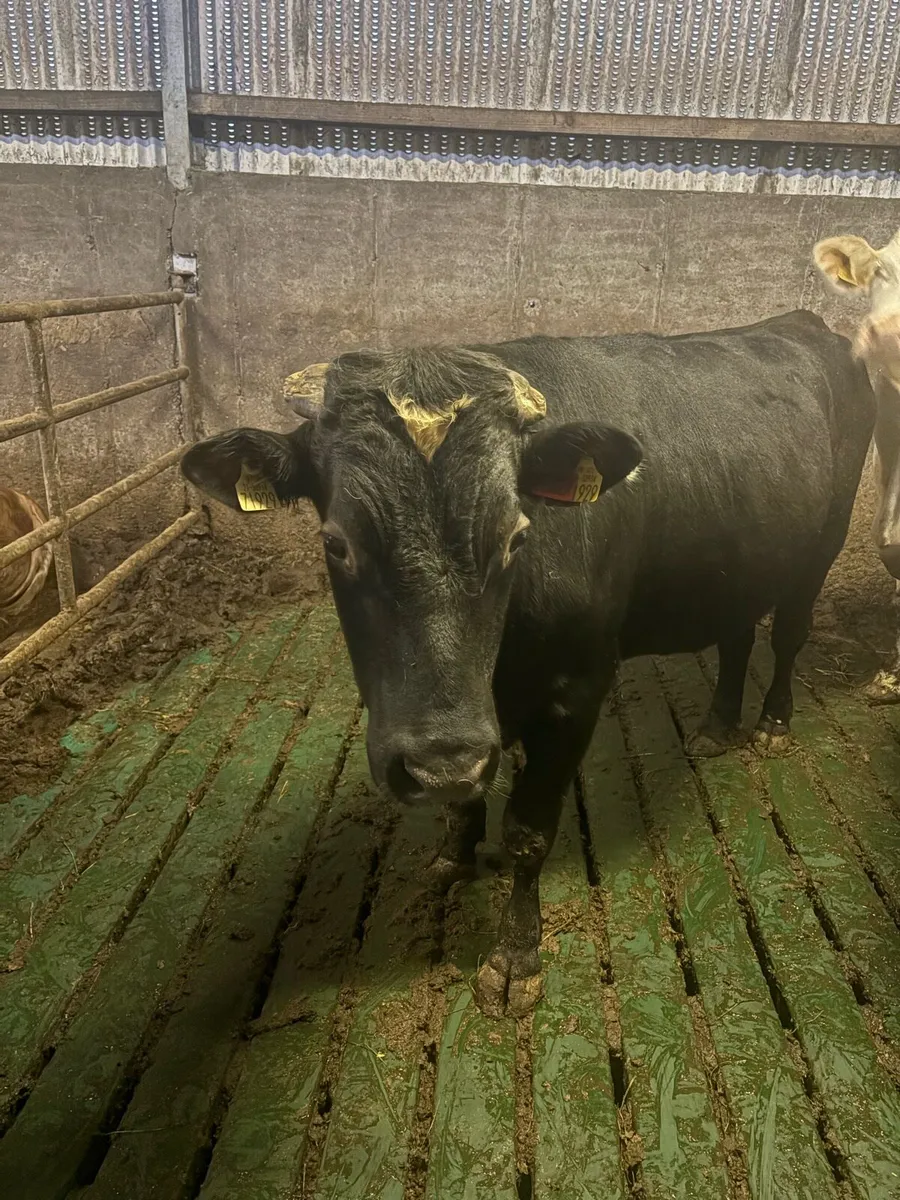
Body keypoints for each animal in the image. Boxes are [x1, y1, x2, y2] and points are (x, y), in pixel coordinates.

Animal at [181, 312, 874, 1016]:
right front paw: (452, 859)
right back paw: (715, 726)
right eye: (335, 543)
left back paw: (771, 723)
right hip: (738, 563)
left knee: (787, 636)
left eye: (516, 535)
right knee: (736, 637)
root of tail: (802, 320)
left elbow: (527, 832)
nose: (435, 764)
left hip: (826, 541)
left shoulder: (575, 695)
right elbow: (463, 801)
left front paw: (515, 958)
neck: (498, 669)